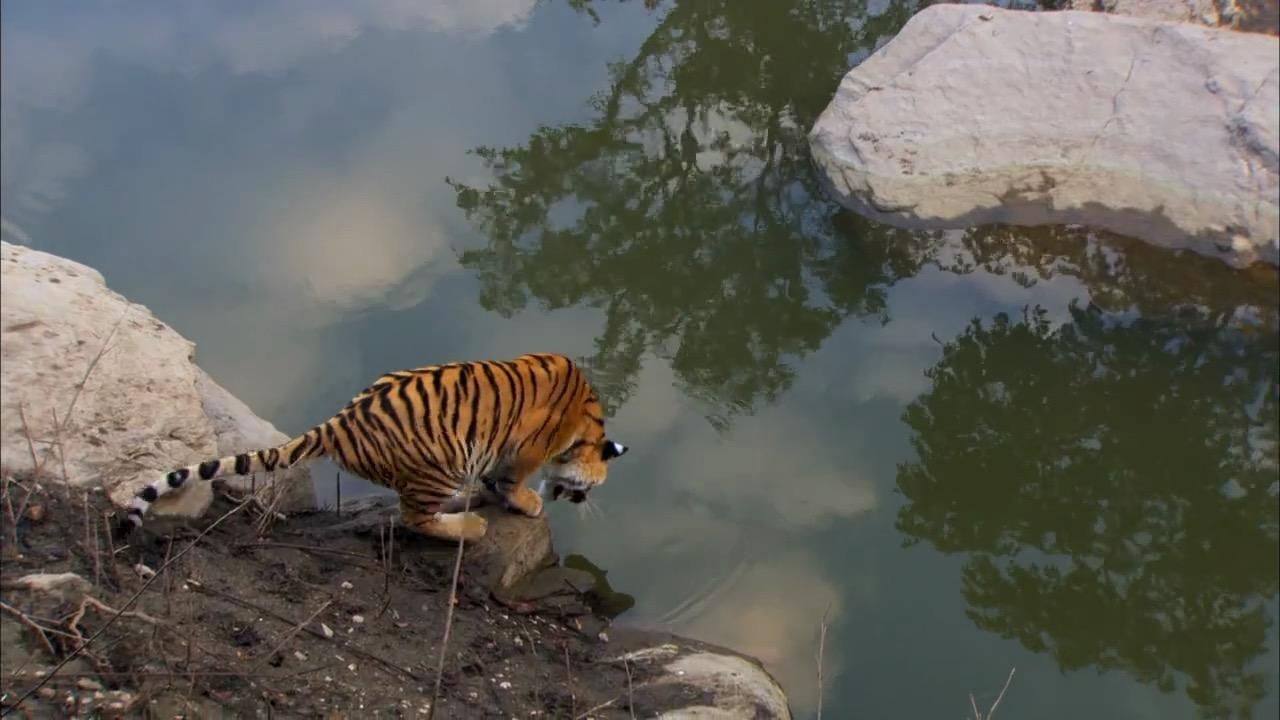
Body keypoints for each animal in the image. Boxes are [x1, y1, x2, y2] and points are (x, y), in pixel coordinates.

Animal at [117, 351, 627, 540]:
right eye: (589, 490)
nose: (581, 502)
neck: (586, 424)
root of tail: (337, 425)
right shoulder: (526, 449)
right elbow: (512, 479)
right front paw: (525, 501)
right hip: (439, 465)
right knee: (415, 519)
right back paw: (468, 527)